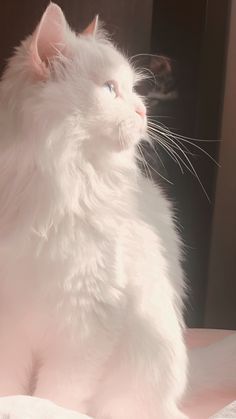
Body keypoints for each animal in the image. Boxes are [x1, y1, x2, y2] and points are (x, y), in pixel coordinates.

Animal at [0, 4, 188, 419]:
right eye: (108, 89)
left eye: (133, 89)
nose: (142, 110)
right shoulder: (10, 327)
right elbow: (9, 387)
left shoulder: (86, 324)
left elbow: (57, 397)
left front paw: (43, 409)